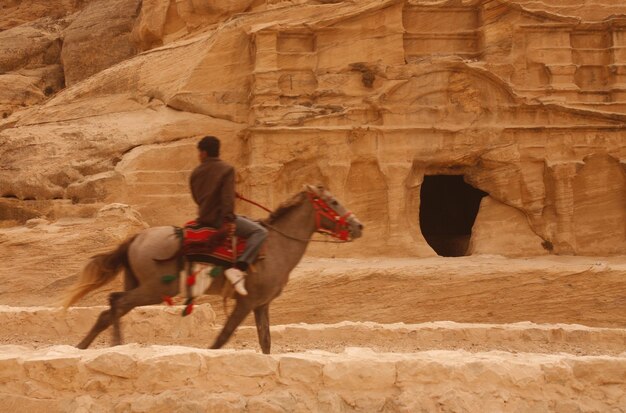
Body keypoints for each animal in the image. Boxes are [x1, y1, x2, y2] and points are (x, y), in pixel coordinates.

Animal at [62, 185, 360, 352]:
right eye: (333, 202)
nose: (358, 226)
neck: (275, 245)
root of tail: (136, 238)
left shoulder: (261, 304)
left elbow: (265, 342)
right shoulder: (246, 301)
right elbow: (223, 337)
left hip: (141, 287)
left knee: (108, 311)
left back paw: (85, 347)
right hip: (153, 290)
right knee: (115, 302)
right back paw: (114, 344)